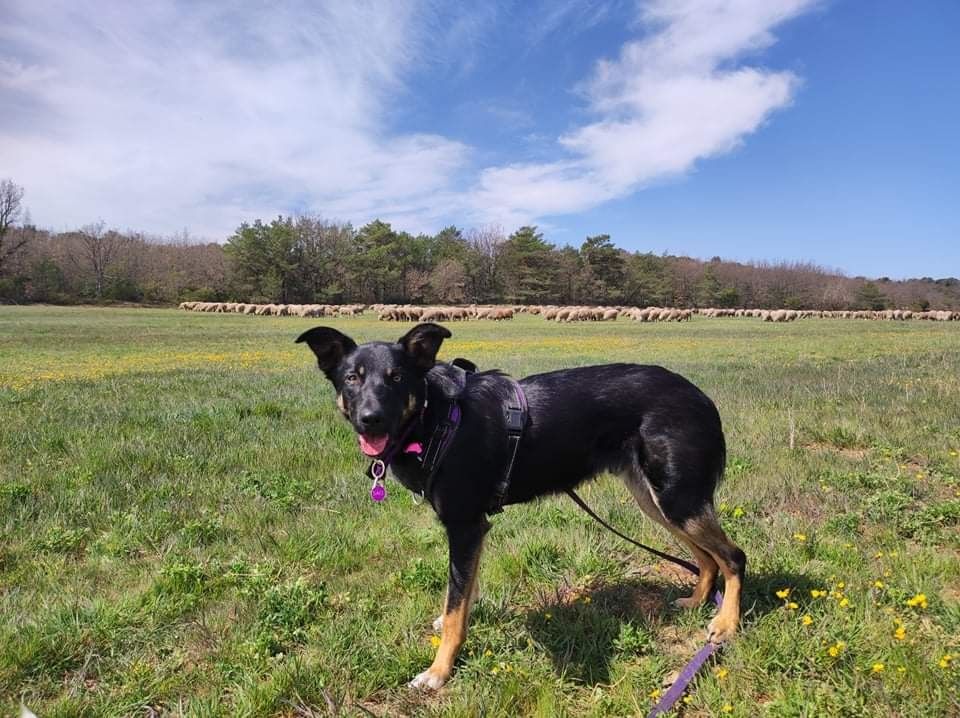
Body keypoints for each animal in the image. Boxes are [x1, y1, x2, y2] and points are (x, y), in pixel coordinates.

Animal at [296, 322, 748, 692]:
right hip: (657, 500)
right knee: (706, 558)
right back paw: (697, 601)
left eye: (396, 378)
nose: (370, 419)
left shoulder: (464, 526)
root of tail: (700, 396)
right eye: (351, 379)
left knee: (733, 556)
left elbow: (456, 607)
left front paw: (440, 671)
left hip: (676, 499)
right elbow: (463, 593)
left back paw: (726, 624)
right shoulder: (474, 531)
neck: (434, 418)